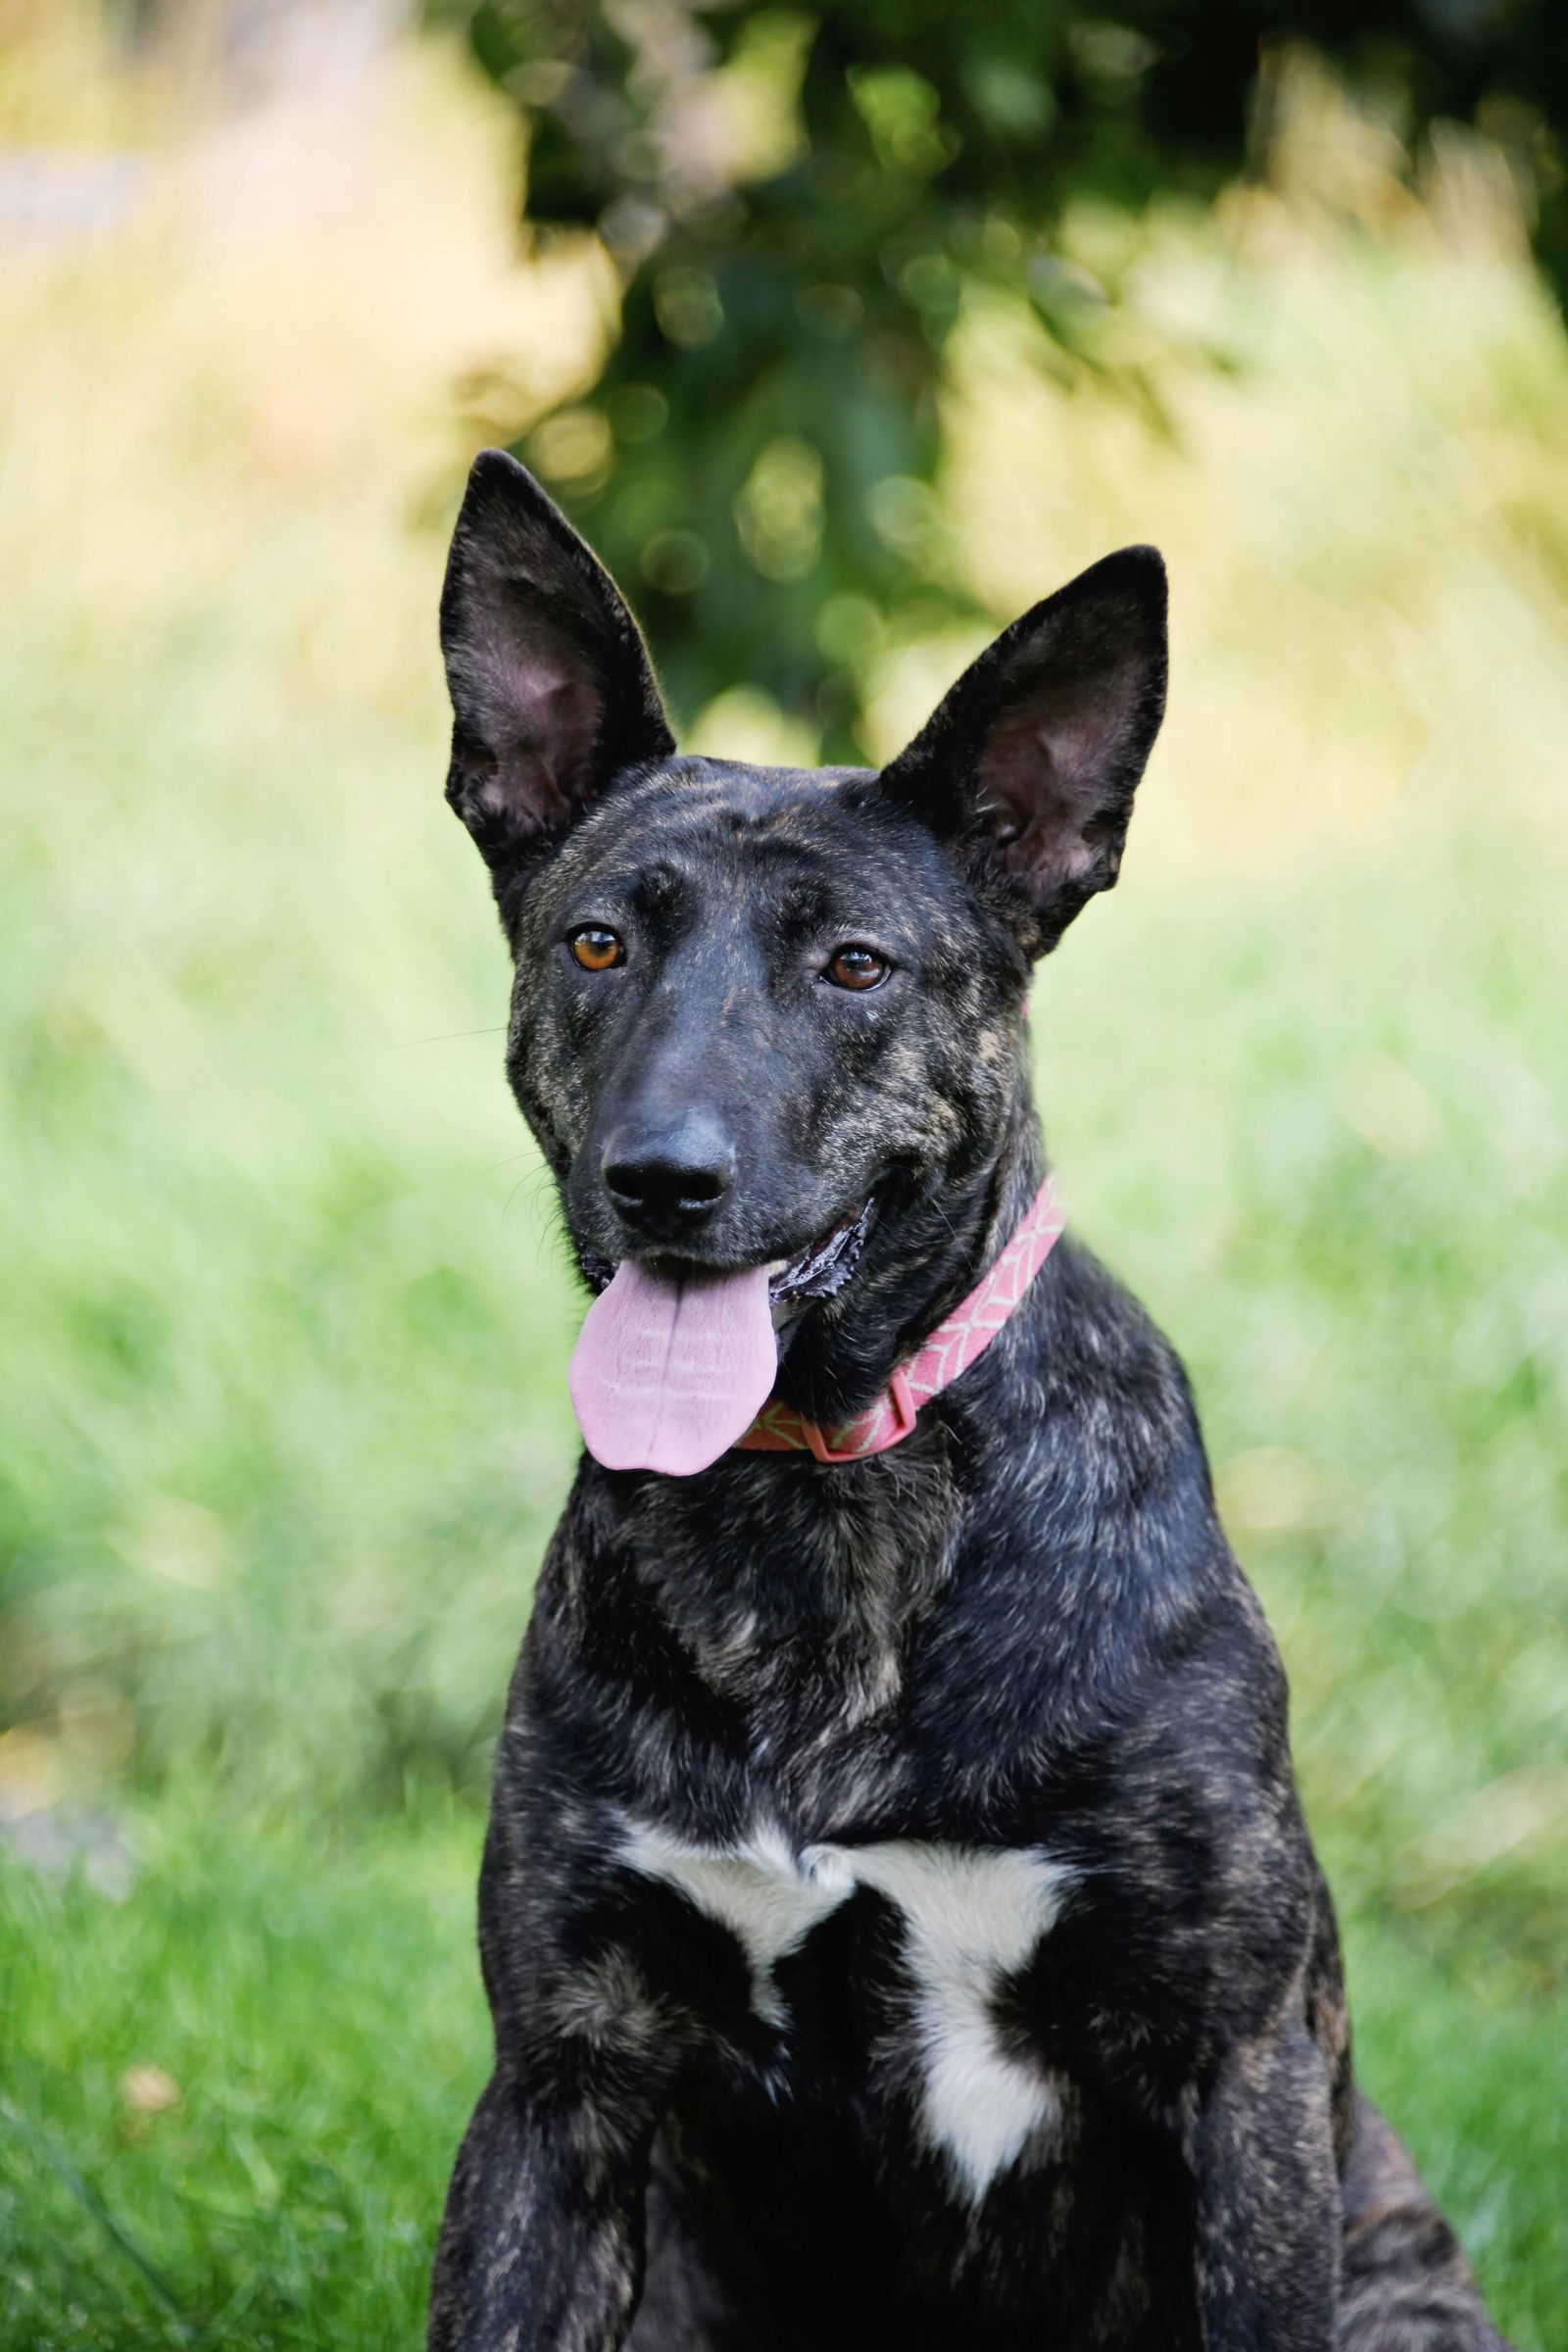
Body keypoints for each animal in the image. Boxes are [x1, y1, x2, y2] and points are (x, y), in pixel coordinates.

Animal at [422, 444, 1513, 2352]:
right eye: (597, 944)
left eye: (856, 965)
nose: (663, 1181)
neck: (825, 1504)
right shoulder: (563, 2084)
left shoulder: (1237, 2076)